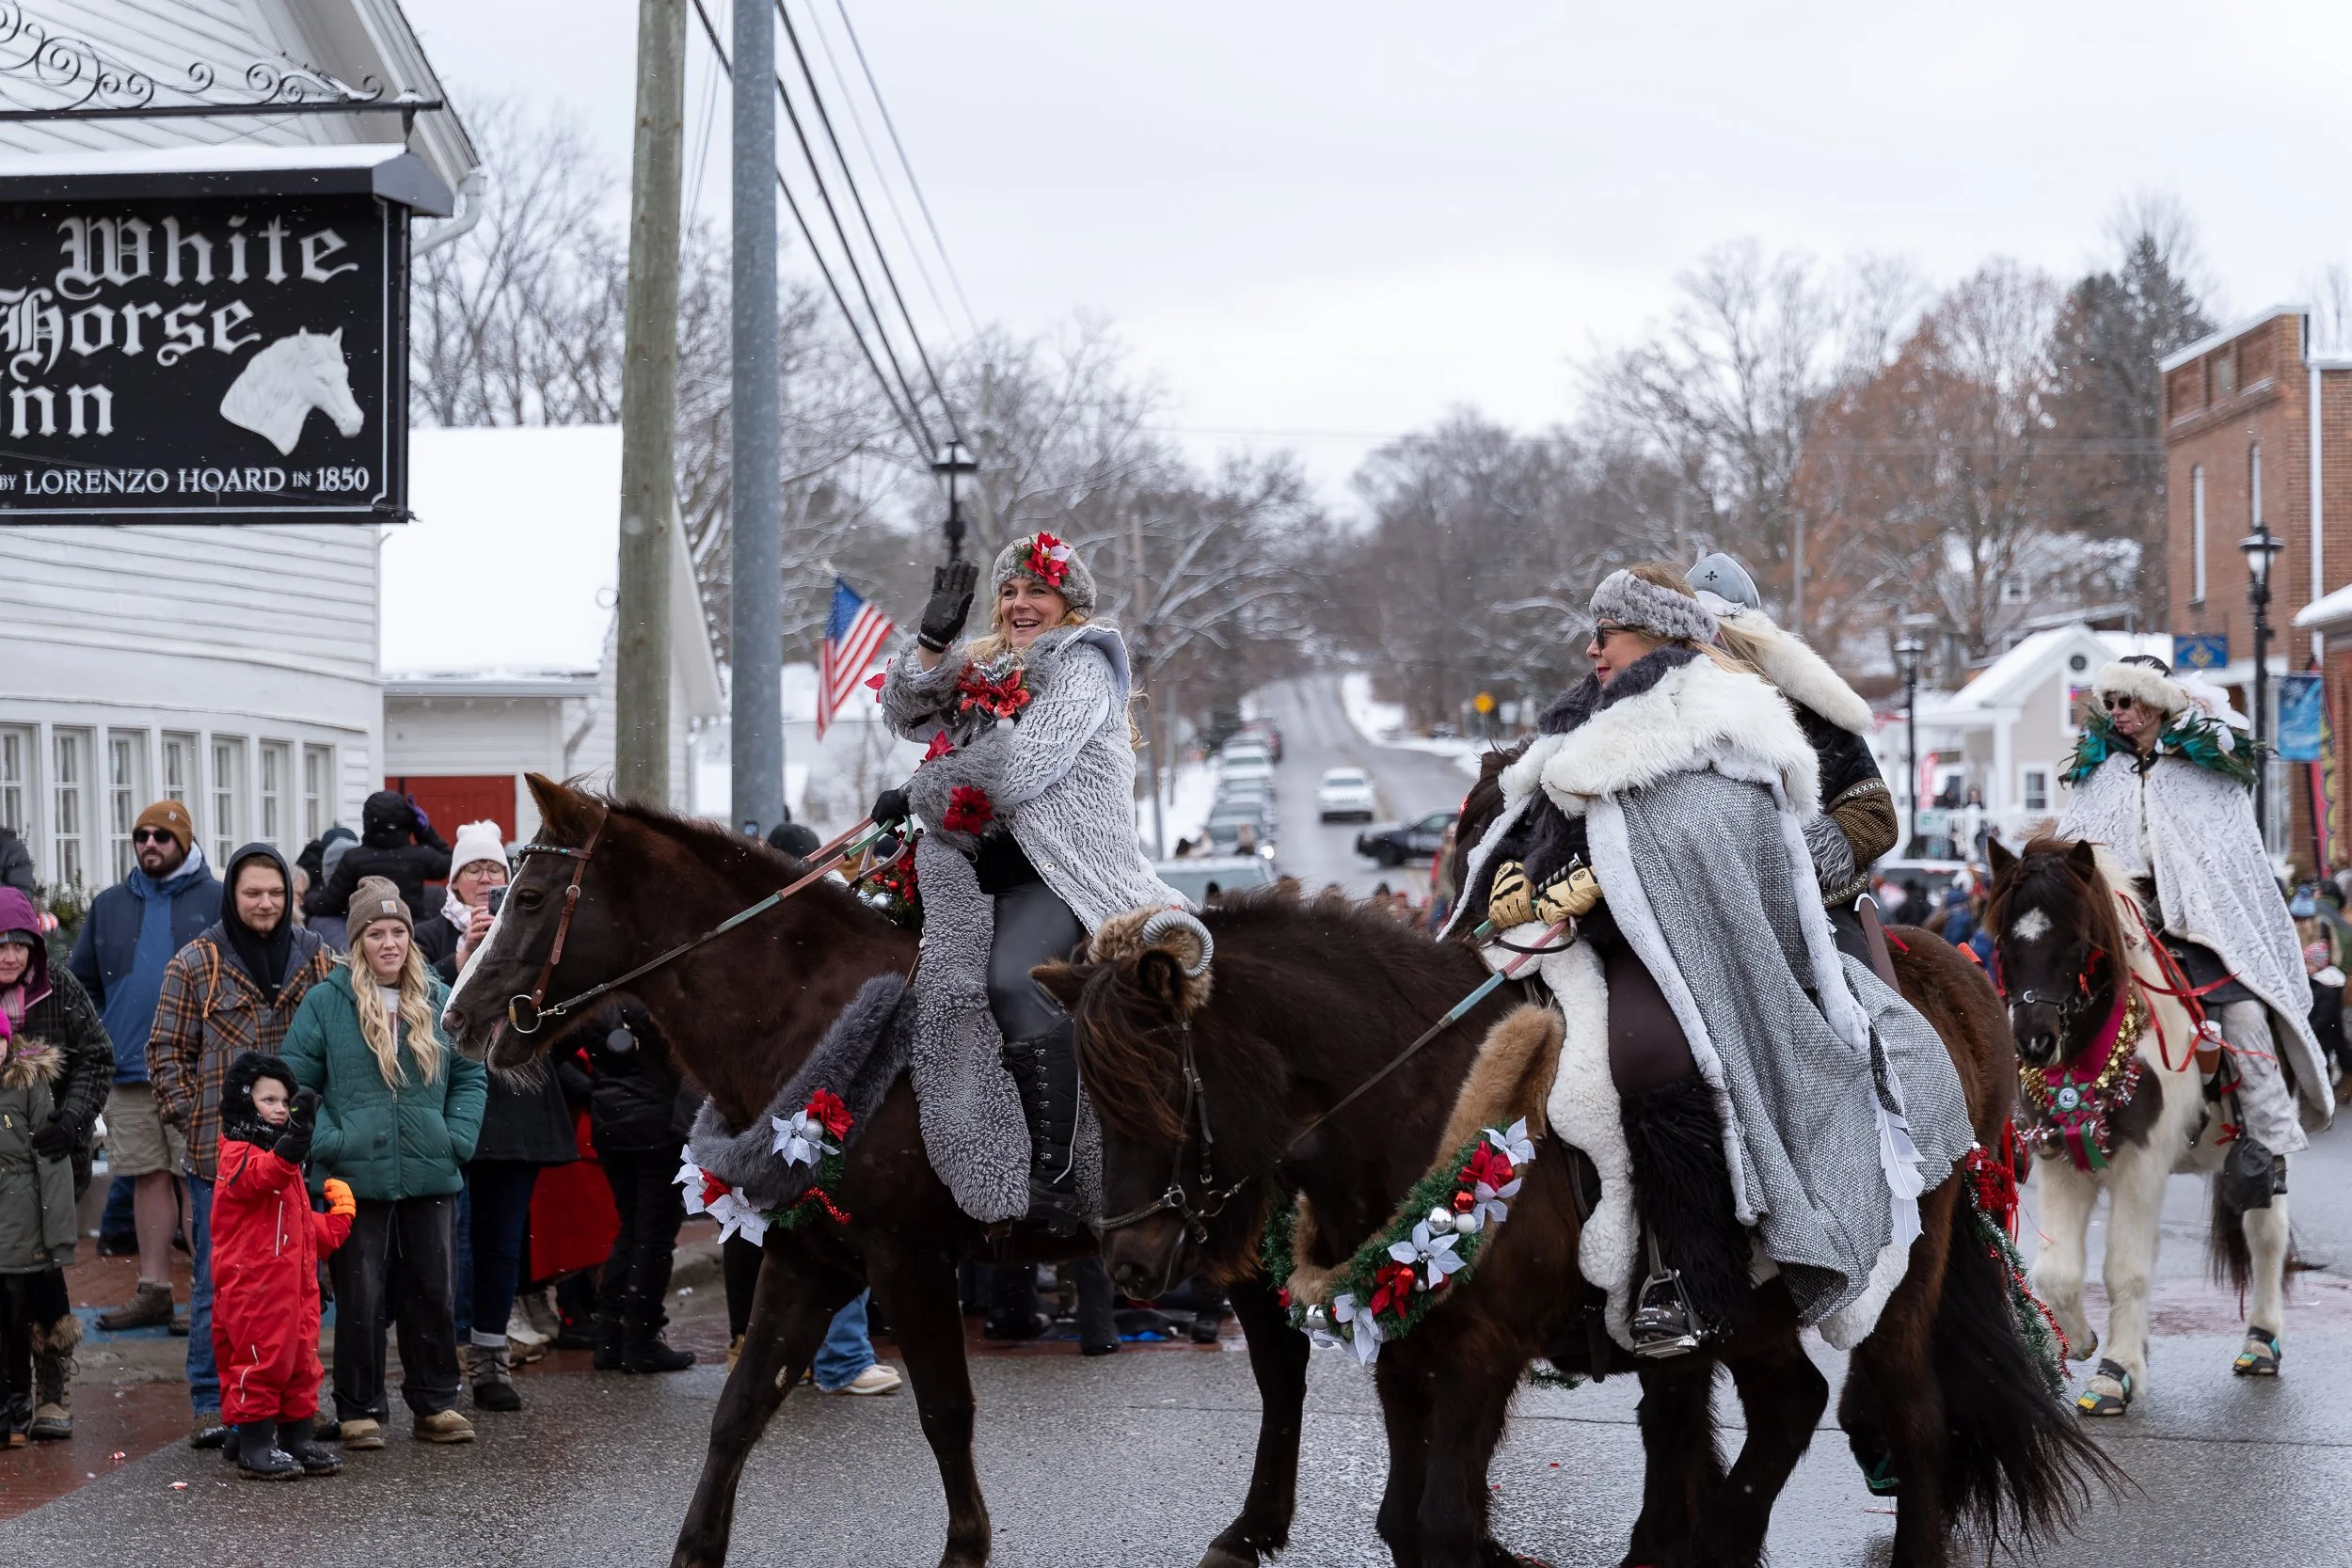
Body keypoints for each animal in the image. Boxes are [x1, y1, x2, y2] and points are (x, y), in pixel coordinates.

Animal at [438, 776, 1313, 1568]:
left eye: (531, 897)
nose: (459, 1017)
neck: (811, 1012)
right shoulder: (808, 1257)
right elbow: (740, 1407)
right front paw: (695, 1549)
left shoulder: (906, 1255)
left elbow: (944, 1409)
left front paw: (966, 1546)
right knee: (1283, 1364)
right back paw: (1251, 1530)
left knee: (1281, 1363)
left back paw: (1249, 1529)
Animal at [1042, 887, 2112, 1568]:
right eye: (1087, 1089)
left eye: (1160, 1087)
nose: (1128, 1258)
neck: (1424, 1096)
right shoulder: (1406, 1345)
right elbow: (1405, 1520)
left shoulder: (1480, 1349)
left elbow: (1440, 1522)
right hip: (1753, 1308)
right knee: (1786, 1405)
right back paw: (1706, 1545)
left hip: (1898, 1279)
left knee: (1915, 1419)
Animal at [1982, 834, 2290, 1413]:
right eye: (2005, 941)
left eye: (2075, 941)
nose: (2033, 1042)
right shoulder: (2060, 1159)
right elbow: (2057, 1271)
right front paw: (2080, 1339)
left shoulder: (2140, 1162)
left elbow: (2124, 1269)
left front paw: (2114, 1374)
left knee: (2265, 1232)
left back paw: (2261, 1343)